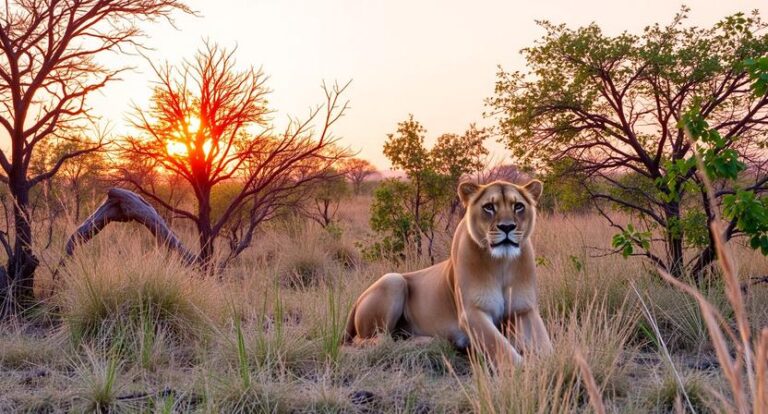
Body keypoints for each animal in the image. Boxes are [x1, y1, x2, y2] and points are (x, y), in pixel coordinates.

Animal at [344, 179, 553, 365]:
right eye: (489, 207)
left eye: (518, 206)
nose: (507, 227)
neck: (501, 262)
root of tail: (355, 303)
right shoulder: (472, 311)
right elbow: (500, 347)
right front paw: (524, 370)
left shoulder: (524, 309)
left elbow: (545, 345)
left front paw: (552, 366)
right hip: (393, 280)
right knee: (371, 340)